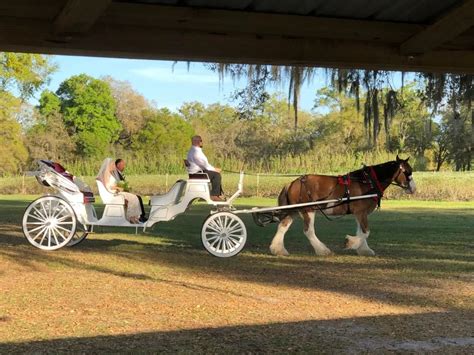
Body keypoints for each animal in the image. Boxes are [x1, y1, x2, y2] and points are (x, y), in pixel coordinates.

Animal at [270, 157, 414, 258]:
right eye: (407, 172)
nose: (413, 189)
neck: (367, 182)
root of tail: (292, 183)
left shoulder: (359, 213)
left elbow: (361, 231)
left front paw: (364, 249)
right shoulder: (361, 212)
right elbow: (365, 232)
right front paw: (350, 243)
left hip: (293, 211)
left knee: (282, 226)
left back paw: (278, 249)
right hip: (308, 210)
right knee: (308, 231)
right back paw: (323, 250)